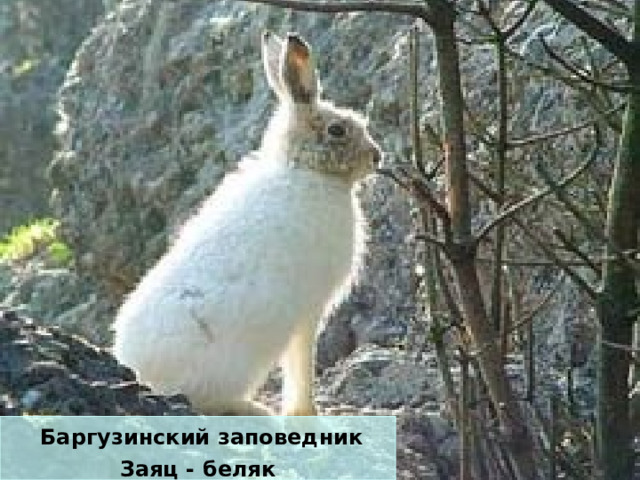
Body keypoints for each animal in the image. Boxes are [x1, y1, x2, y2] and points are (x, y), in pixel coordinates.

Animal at [113, 31, 382, 416]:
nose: (377, 157)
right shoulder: (310, 310)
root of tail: (140, 371)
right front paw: (307, 414)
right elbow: (301, 363)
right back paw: (256, 410)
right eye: (337, 130)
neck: (304, 167)